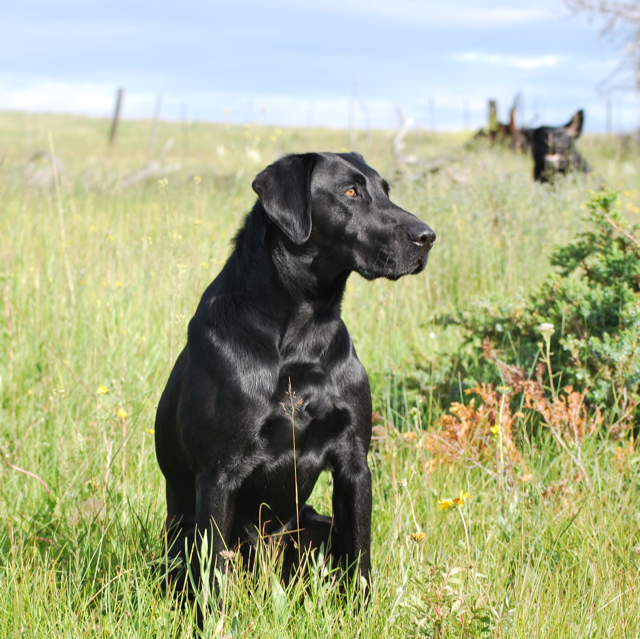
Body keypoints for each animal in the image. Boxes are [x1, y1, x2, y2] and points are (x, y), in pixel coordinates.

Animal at [154, 154, 436, 596]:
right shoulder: (217, 474)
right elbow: (214, 577)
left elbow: (361, 557)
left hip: (314, 525)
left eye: (386, 190)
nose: (428, 237)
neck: (302, 334)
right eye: (350, 192)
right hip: (182, 538)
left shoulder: (355, 463)